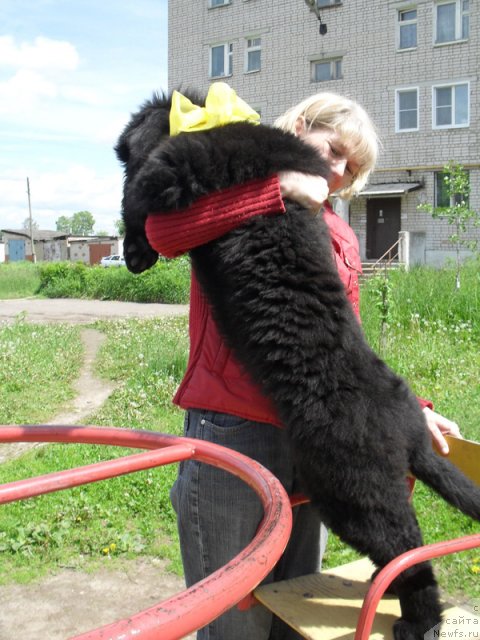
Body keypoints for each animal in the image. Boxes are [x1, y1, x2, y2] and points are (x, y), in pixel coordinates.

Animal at [117, 91, 480, 640]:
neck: (206, 117)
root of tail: (412, 430)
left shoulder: (174, 170)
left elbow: (137, 193)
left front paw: (135, 247)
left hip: (356, 495)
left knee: (411, 559)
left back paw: (418, 621)